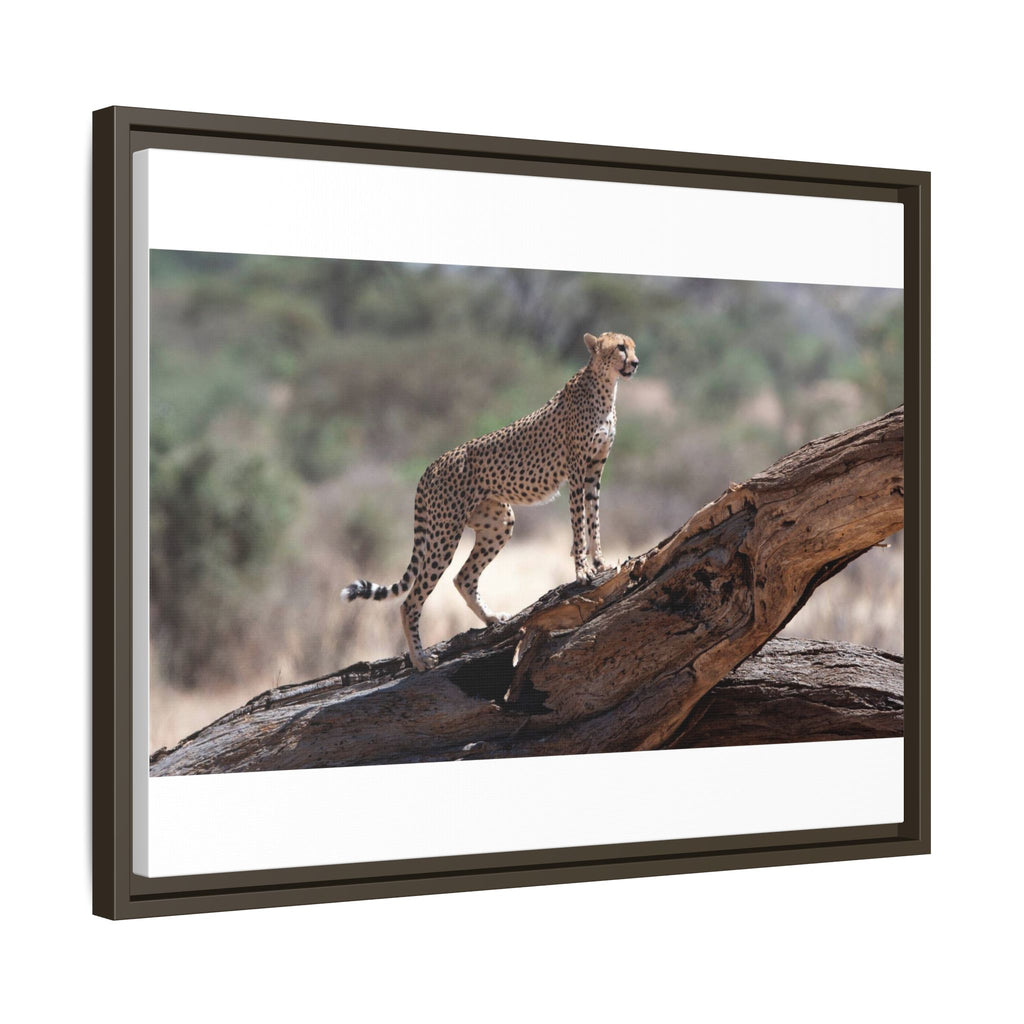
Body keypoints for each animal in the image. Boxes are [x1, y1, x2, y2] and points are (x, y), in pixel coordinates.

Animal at [341, 331, 639, 671]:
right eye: (620, 347)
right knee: (411, 600)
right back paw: (420, 658)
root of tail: (432, 465)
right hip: (445, 534)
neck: (605, 386)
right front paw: (582, 570)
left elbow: (594, 518)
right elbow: (579, 523)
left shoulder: (594, 470)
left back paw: (492, 618)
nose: (635, 362)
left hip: (498, 522)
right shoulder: (576, 470)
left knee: (463, 578)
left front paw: (601, 562)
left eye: (632, 346)